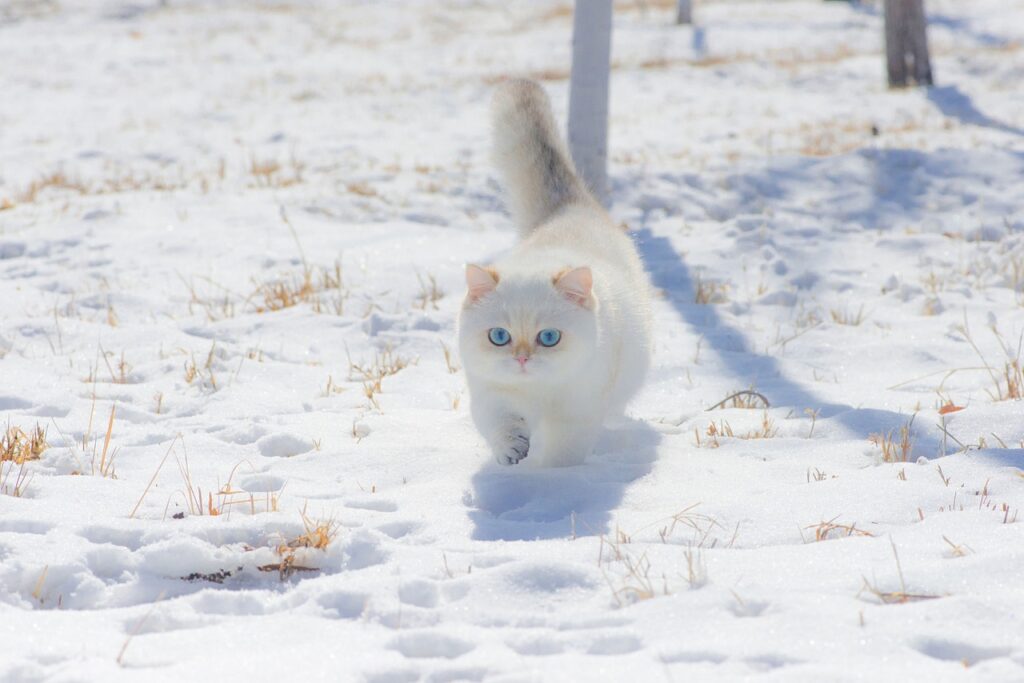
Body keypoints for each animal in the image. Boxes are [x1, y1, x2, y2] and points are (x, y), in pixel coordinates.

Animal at [460, 77, 651, 466]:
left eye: (549, 337)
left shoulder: (578, 412)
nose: (521, 359)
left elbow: (564, 451)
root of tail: (570, 207)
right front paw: (512, 453)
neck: (538, 393)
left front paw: (552, 478)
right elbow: (501, 425)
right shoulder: (491, 395)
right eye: (498, 336)